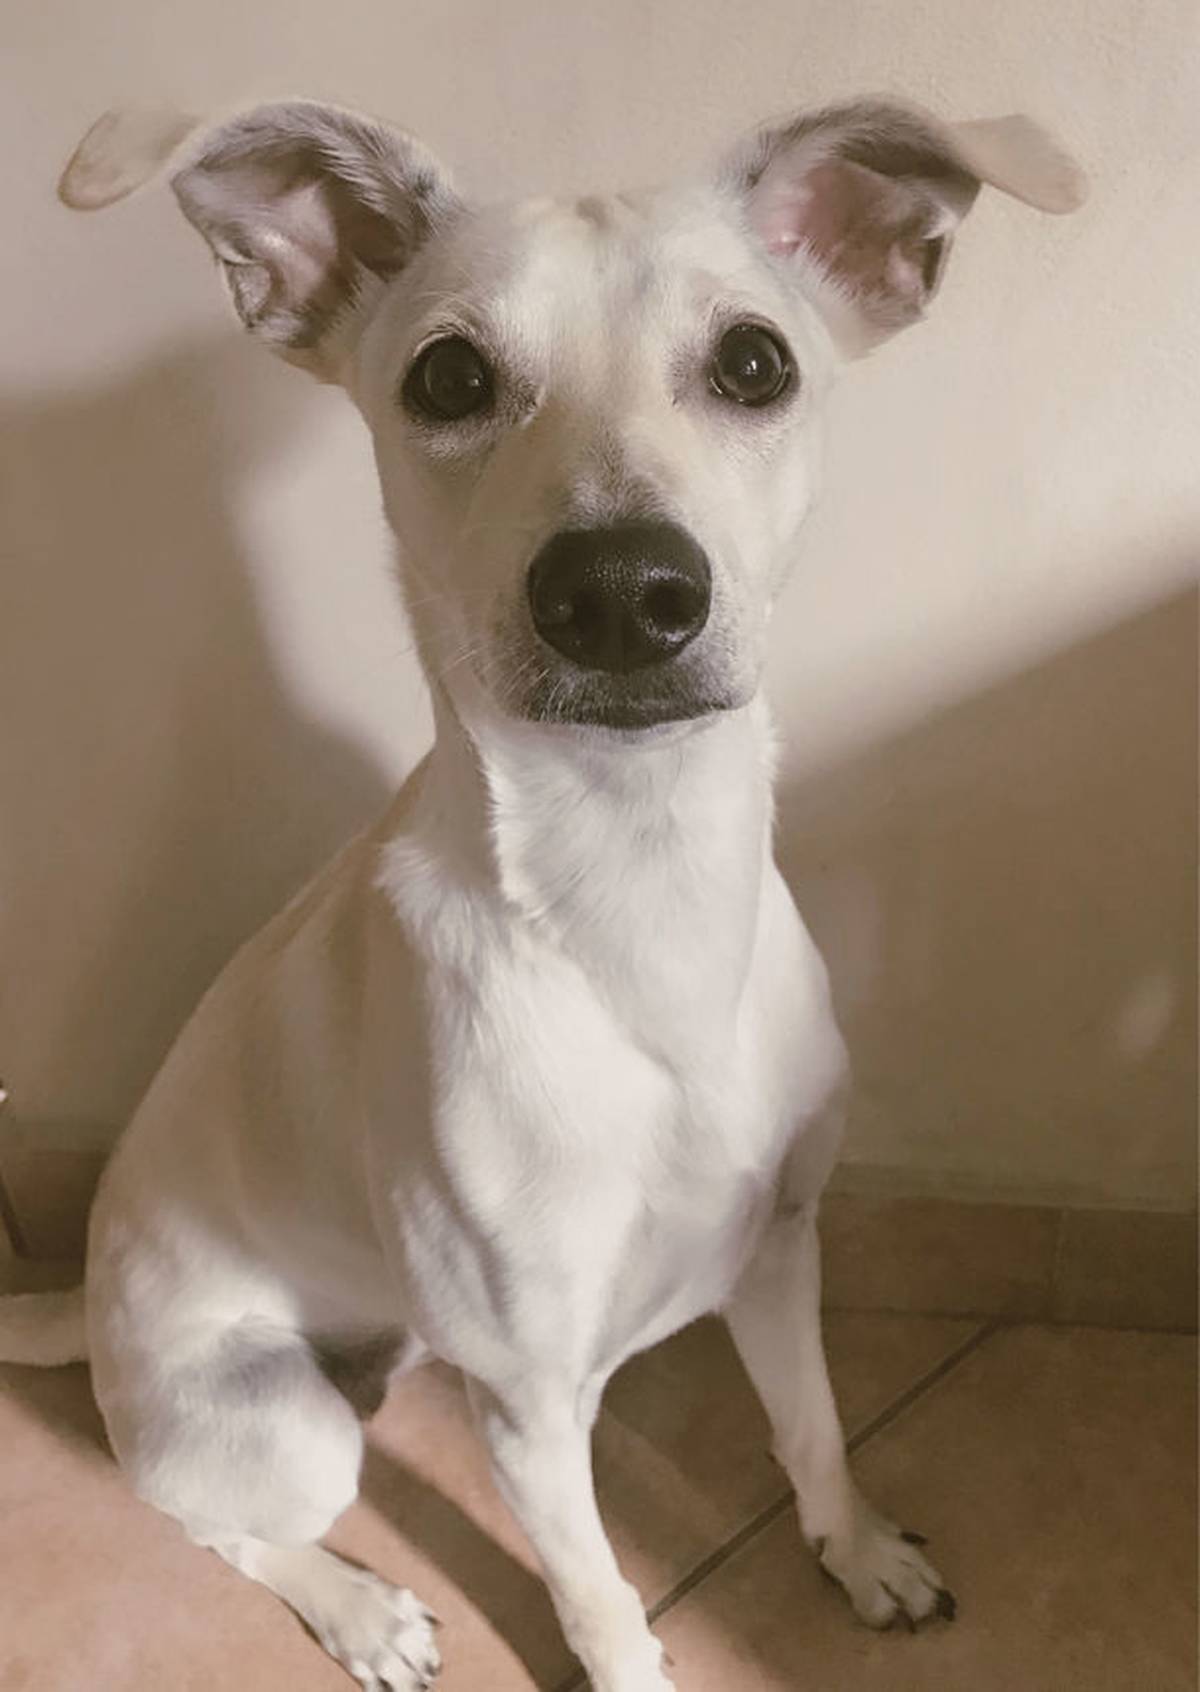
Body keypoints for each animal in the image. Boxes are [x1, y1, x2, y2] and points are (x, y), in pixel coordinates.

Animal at [0, 94, 1083, 1690]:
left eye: (755, 361)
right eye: (449, 376)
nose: (623, 590)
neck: (636, 900)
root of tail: (87, 1301)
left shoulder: (783, 1250)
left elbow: (814, 1429)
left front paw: (860, 1553)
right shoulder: (527, 1409)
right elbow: (597, 1596)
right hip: (283, 1425)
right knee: (203, 1519)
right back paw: (361, 1610)